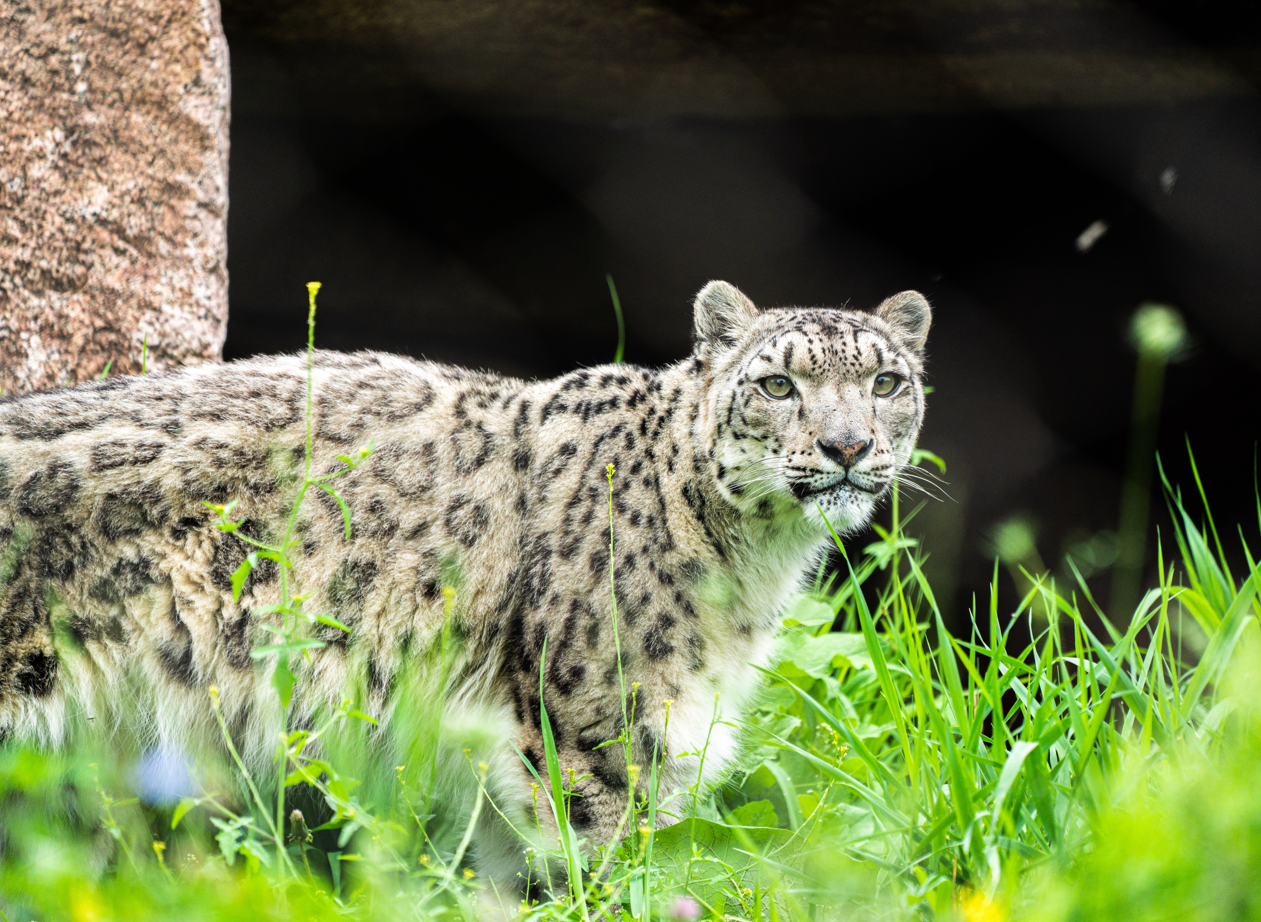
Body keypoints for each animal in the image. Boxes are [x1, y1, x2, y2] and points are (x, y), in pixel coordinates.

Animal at [0, 280, 931, 897]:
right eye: (777, 384)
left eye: (886, 383)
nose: (848, 446)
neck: (752, 566)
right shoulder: (599, 735)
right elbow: (603, 867)